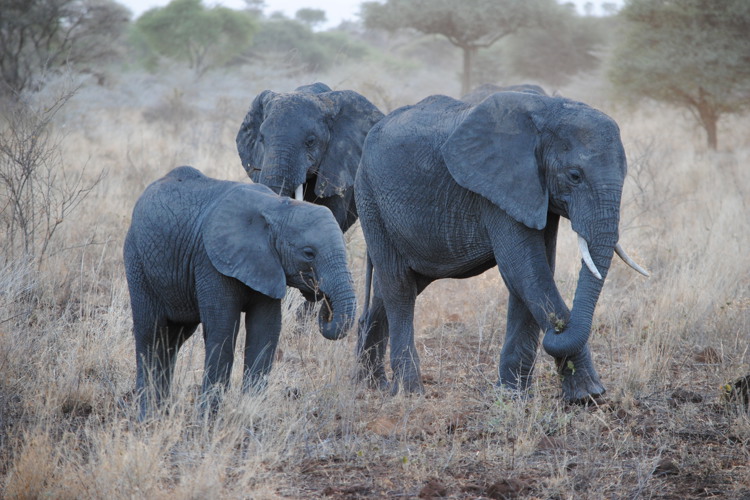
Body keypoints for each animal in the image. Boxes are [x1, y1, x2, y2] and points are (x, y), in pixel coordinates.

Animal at [124, 166, 356, 420]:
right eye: (308, 253)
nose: (321, 296)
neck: (276, 208)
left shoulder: (266, 265)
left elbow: (265, 332)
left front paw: (251, 413)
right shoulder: (210, 262)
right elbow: (222, 331)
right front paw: (208, 420)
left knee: (172, 339)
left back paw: (163, 412)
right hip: (137, 262)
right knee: (150, 334)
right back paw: (148, 416)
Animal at [355, 91, 648, 403]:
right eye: (574, 175)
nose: (557, 331)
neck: (549, 112)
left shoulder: (534, 193)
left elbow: (533, 273)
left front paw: (513, 395)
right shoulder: (498, 191)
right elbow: (525, 271)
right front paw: (587, 394)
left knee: (395, 287)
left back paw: (369, 385)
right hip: (370, 199)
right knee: (398, 286)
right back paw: (409, 392)